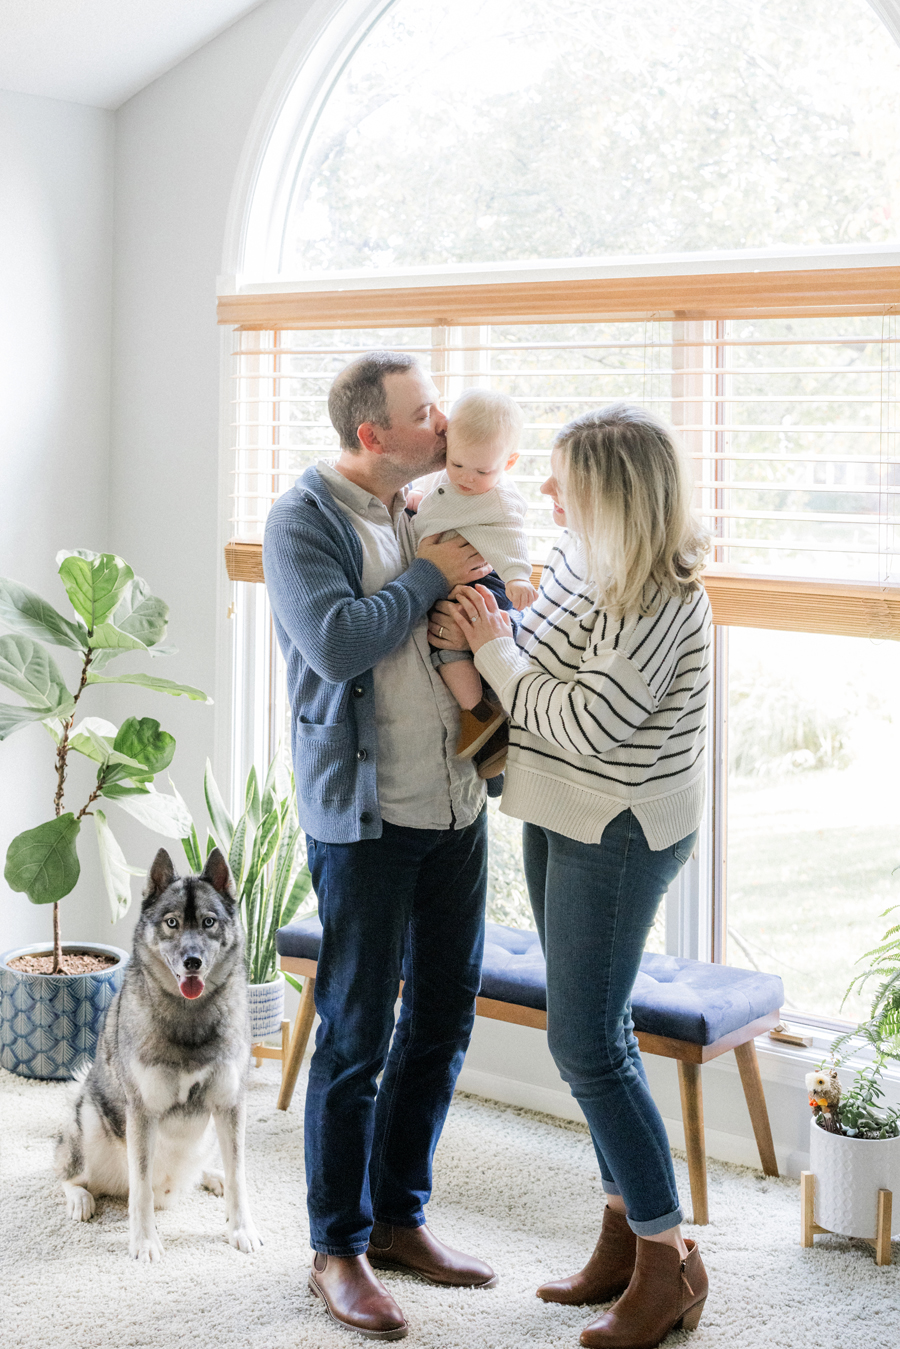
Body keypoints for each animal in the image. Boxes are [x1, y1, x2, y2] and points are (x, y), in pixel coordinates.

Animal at [54, 847, 261, 1257]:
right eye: (171, 922)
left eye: (209, 922)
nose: (193, 962)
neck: (190, 1016)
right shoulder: (142, 1113)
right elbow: (141, 1191)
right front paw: (145, 1241)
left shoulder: (230, 1106)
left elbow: (239, 1176)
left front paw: (241, 1227)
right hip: (90, 1121)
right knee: (71, 1176)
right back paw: (81, 1198)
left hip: (209, 1133)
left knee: (206, 1170)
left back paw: (212, 1177)